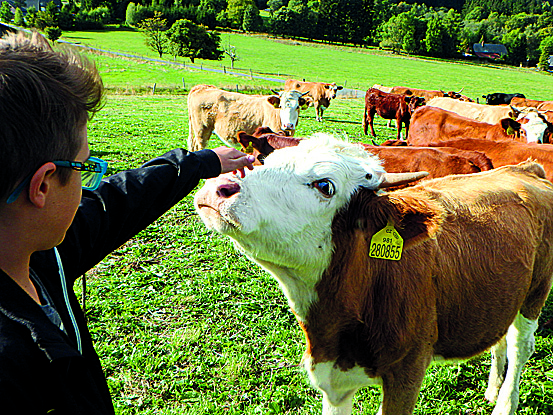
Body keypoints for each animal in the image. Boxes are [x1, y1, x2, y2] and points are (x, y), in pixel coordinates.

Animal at [195, 134, 553, 415]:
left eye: (325, 185)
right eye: (263, 161)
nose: (219, 187)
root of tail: (525, 169)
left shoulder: (407, 374)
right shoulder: (334, 381)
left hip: (535, 292)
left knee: (520, 346)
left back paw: (505, 403)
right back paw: (493, 388)